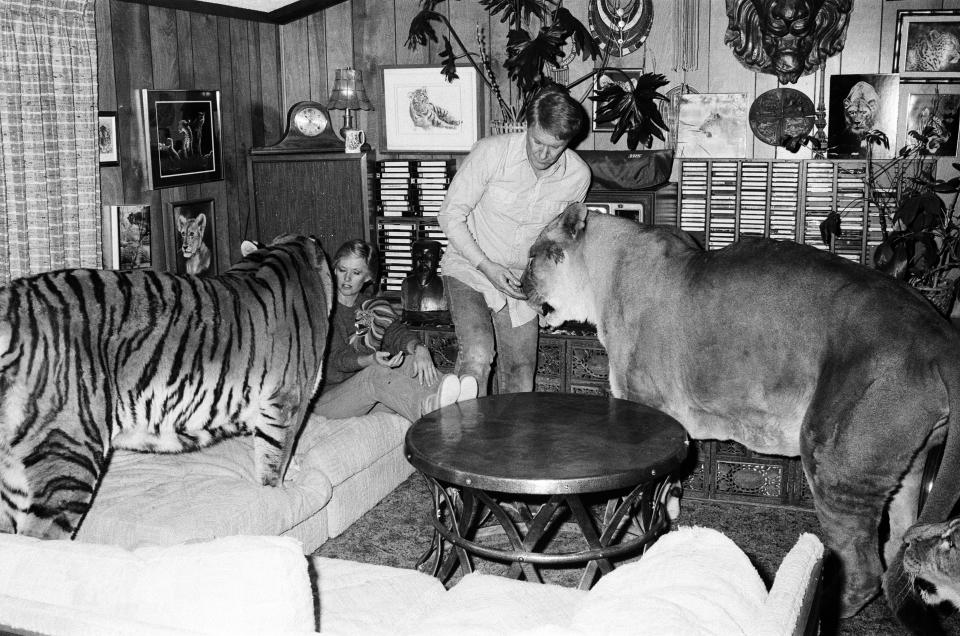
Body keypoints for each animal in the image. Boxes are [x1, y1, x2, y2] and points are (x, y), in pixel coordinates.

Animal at [520, 205, 960, 628]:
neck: (605, 271)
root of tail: (940, 337)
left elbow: (631, 497)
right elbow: (668, 484)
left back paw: (828, 607)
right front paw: (671, 515)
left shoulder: (643, 408)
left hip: (836, 458)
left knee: (865, 567)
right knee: (897, 546)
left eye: (531, 257)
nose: (518, 285)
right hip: (907, 468)